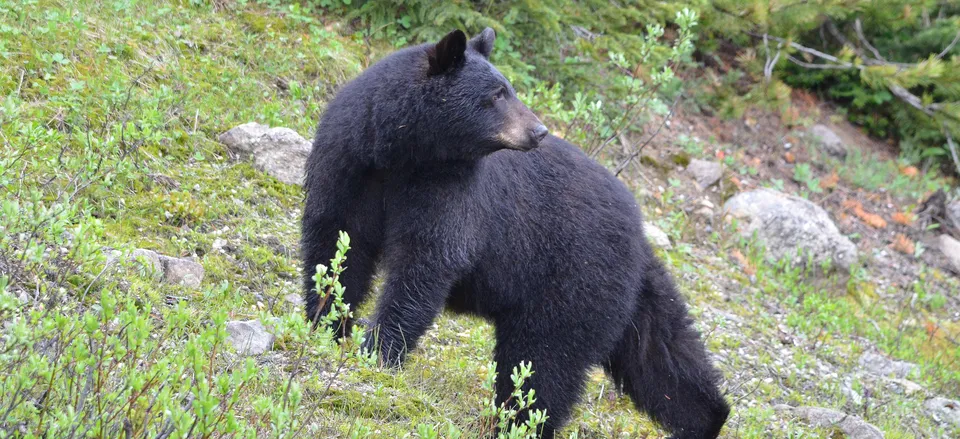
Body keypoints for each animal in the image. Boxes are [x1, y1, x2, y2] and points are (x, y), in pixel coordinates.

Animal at [304, 28, 732, 439]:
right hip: (621, 294)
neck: (401, 154)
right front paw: (325, 323)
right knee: (662, 351)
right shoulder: (349, 162)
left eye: (509, 88)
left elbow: (426, 261)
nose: (539, 130)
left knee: (544, 361)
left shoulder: (450, 190)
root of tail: (640, 237)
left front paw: (378, 350)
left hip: (572, 282)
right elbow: (337, 241)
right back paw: (707, 417)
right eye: (496, 94)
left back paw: (516, 424)